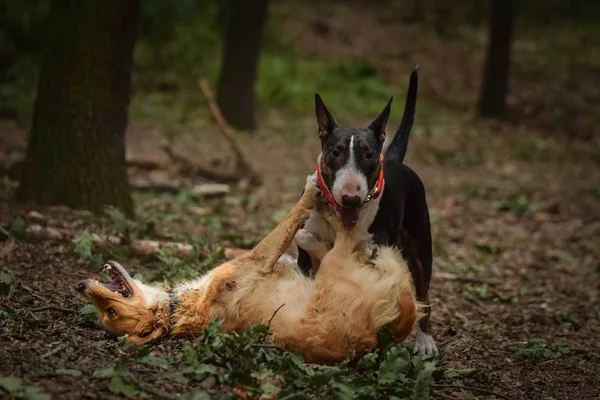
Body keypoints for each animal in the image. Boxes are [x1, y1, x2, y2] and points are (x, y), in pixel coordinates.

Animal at [78, 177, 418, 362]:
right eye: (110, 312)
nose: (81, 285)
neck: (177, 310)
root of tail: (387, 332)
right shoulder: (257, 258)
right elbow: (291, 219)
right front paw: (312, 194)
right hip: (332, 271)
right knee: (347, 236)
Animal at [296, 68, 436, 354]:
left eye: (369, 155)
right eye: (335, 152)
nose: (351, 198)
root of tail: (393, 159)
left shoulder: (375, 256)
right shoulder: (305, 255)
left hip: (420, 246)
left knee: (424, 292)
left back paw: (425, 340)